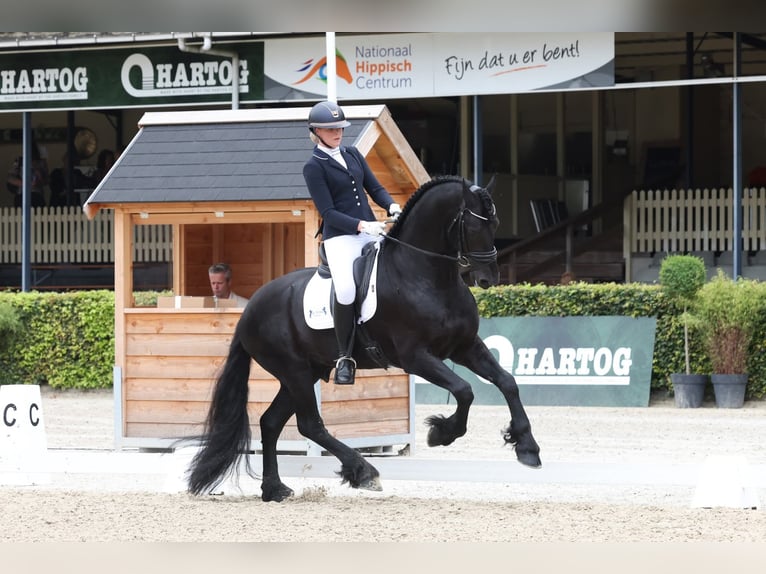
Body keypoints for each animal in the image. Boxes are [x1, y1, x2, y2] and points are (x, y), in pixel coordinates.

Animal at [187, 175, 542, 502]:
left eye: (496, 222)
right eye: (473, 223)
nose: (488, 278)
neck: (425, 276)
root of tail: (251, 307)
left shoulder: (466, 346)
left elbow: (507, 382)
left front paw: (527, 448)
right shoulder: (416, 357)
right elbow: (465, 390)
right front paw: (441, 433)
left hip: (304, 372)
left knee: (271, 423)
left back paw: (275, 489)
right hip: (294, 371)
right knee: (309, 424)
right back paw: (363, 471)